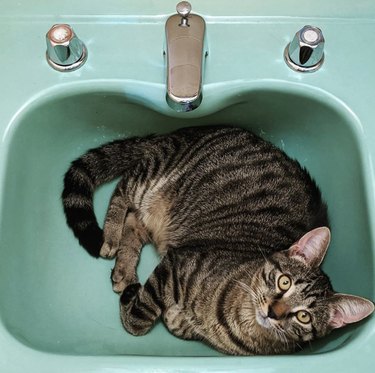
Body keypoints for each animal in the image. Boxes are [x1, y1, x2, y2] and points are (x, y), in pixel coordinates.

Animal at [61, 125, 374, 354]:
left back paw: (125, 269)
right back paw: (110, 238)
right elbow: (140, 317)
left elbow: (177, 324)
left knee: (134, 225)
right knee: (121, 193)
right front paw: (136, 306)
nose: (273, 312)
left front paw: (176, 318)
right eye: (284, 282)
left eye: (304, 316)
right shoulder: (176, 261)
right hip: (150, 179)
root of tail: (184, 130)